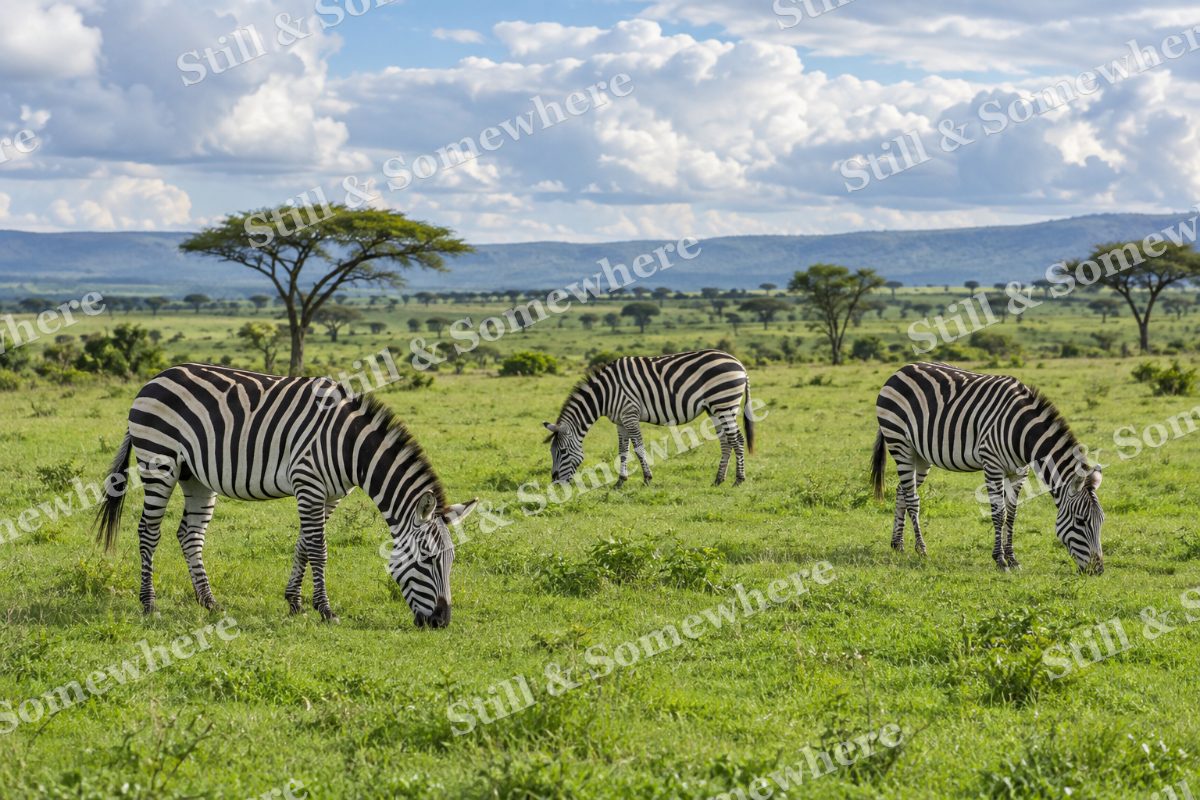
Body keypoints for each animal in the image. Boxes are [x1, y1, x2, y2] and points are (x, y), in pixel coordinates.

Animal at [94, 363, 477, 626]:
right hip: (159, 460)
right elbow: (319, 549)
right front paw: (325, 610)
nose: (441, 622)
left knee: (189, 534)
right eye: (427, 559)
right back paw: (149, 604)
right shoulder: (309, 482)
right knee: (149, 531)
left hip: (195, 476)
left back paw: (209, 601)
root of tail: (156, 377)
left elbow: (304, 545)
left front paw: (294, 602)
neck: (350, 447)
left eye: (451, 561)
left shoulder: (330, 494)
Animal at [543, 350, 754, 487]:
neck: (606, 393)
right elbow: (623, 450)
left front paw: (646, 478)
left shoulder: (630, 414)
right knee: (726, 441)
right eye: (552, 452)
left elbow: (638, 447)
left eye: (562, 452)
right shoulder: (620, 421)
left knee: (737, 439)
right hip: (714, 409)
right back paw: (718, 480)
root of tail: (740, 364)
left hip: (724, 403)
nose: (555, 482)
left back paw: (739, 479)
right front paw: (620, 481)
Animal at [871, 362, 1104, 574]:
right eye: (1080, 521)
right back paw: (921, 549)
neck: (1022, 433)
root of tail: (901, 369)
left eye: (1101, 521)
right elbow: (998, 513)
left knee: (902, 490)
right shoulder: (992, 465)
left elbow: (1012, 514)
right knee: (912, 498)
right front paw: (1000, 560)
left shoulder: (1019, 472)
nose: (1097, 570)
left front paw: (1013, 559)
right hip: (900, 443)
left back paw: (898, 544)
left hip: (920, 455)